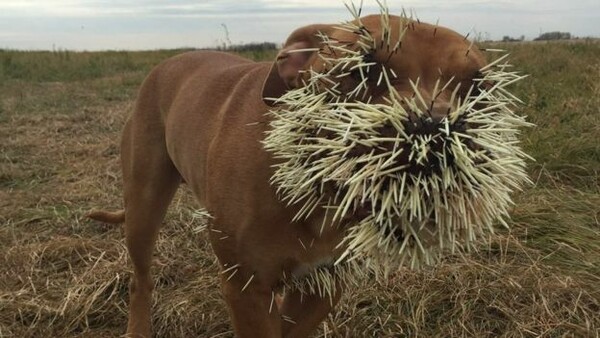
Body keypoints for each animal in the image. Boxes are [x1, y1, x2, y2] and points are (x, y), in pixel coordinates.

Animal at [90, 11, 492, 336]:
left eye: (478, 89)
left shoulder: (324, 284)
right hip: (143, 207)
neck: (317, 189)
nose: (435, 130)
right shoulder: (246, 287)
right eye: (363, 71)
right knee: (140, 279)